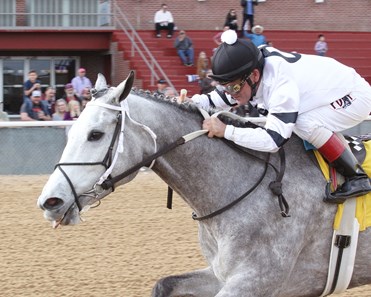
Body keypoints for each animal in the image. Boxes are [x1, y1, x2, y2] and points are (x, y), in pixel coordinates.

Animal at [37, 72, 371, 296]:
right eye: (71, 131)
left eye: (95, 134)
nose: (50, 202)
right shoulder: (220, 274)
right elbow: (164, 285)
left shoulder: (256, 280)